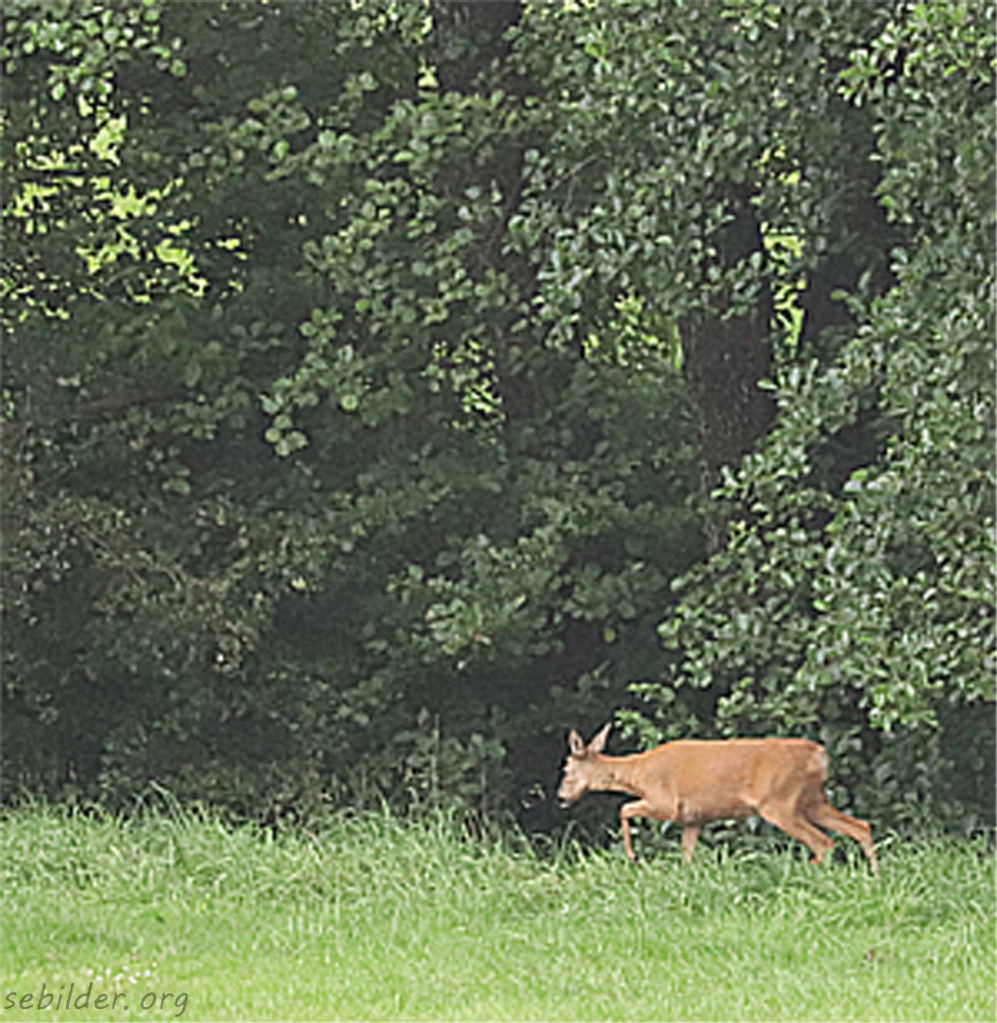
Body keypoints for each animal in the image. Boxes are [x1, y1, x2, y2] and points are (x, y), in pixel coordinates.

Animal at [557, 724, 878, 875]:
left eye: (566, 770)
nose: (560, 797)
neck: (638, 774)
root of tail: (820, 756)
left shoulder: (666, 802)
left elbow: (624, 809)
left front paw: (633, 856)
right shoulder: (693, 819)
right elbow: (687, 854)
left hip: (780, 802)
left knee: (823, 842)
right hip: (812, 799)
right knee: (860, 826)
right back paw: (873, 877)